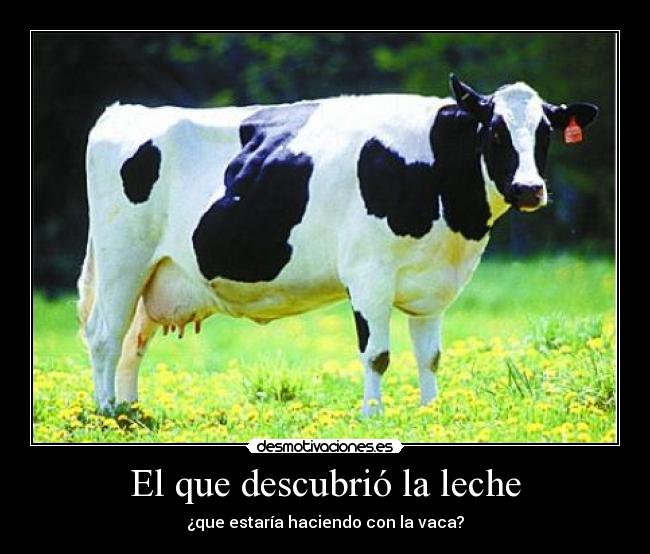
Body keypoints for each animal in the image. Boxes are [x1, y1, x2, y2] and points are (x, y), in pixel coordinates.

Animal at [78, 75, 598, 416]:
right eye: (495, 130)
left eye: (545, 133)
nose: (529, 189)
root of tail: (124, 111)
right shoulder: (369, 274)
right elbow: (377, 355)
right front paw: (373, 417)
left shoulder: (433, 285)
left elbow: (430, 355)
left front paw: (430, 412)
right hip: (122, 259)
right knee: (105, 335)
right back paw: (107, 413)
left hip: (156, 274)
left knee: (133, 341)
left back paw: (131, 411)